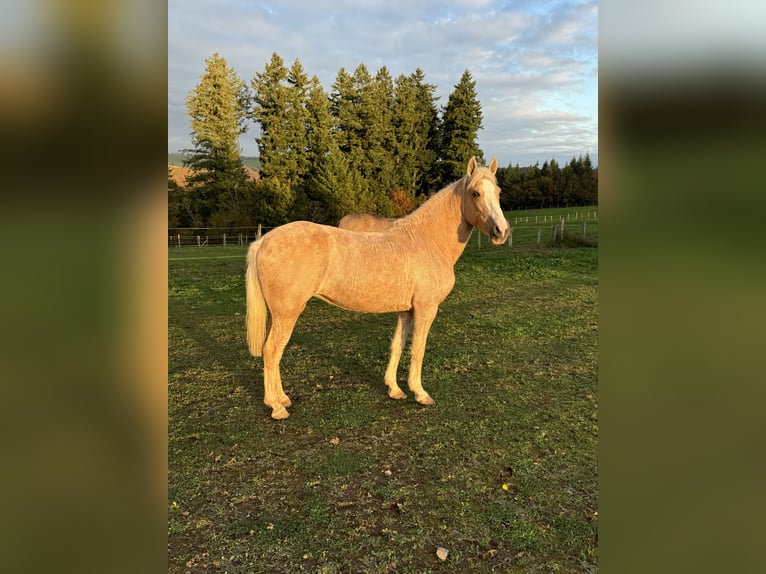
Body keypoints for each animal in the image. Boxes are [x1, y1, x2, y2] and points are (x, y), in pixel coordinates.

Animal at [248, 155, 510, 420]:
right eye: (476, 193)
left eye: (498, 192)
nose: (502, 231)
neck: (427, 240)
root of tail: (263, 241)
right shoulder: (426, 309)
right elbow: (418, 349)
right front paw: (420, 393)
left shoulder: (406, 311)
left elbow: (398, 345)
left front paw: (394, 389)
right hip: (287, 313)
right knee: (272, 350)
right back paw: (276, 407)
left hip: (278, 315)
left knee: (274, 351)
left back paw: (283, 398)